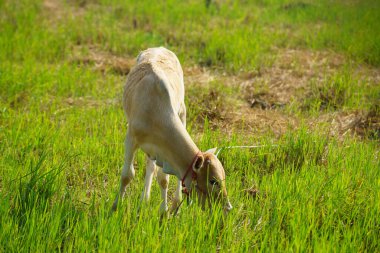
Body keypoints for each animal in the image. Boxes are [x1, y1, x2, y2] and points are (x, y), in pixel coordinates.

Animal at [111, 47, 233, 213]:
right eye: (213, 181)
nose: (228, 207)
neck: (155, 111)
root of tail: (159, 48)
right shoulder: (131, 138)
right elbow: (127, 175)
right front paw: (115, 207)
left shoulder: (163, 150)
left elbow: (163, 179)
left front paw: (165, 212)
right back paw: (145, 199)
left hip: (182, 116)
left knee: (152, 167)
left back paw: (168, 203)